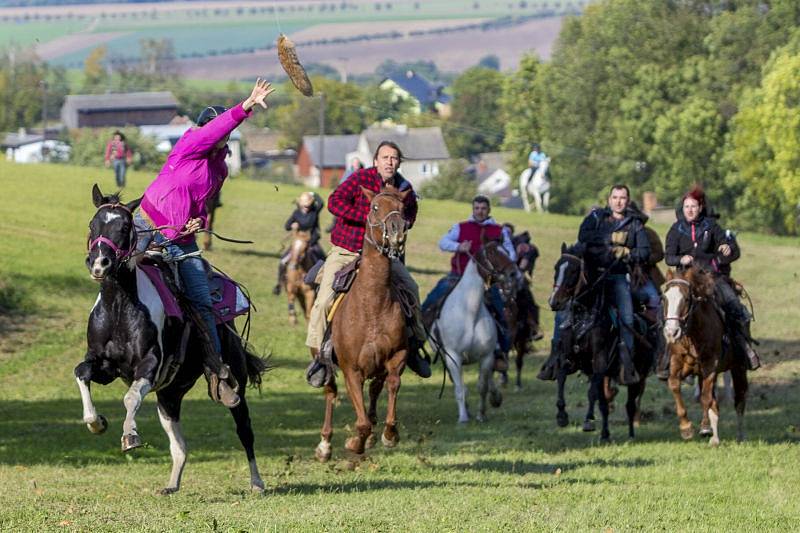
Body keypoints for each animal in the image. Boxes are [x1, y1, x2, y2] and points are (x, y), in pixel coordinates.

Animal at [75, 184, 268, 494]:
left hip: (235, 382)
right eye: (93, 224)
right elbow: (81, 372)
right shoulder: (104, 366)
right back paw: (172, 484)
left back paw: (257, 483)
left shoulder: (150, 364)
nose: (100, 263)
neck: (119, 306)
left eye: (125, 226)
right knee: (180, 446)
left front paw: (130, 436)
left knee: (245, 431)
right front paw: (97, 423)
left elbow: (130, 397)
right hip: (170, 395)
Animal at [316, 186, 410, 462]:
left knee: (375, 390)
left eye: (403, 208)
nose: (397, 230)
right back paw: (325, 445)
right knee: (330, 391)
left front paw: (389, 435)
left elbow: (392, 385)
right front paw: (354, 443)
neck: (372, 304)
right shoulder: (351, 369)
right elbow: (361, 421)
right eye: (375, 207)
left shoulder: (396, 357)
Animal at [432, 251, 500, 422]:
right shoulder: (453, 357)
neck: (470, 311)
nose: (514, 274)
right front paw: (463, 417)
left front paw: (481, 415)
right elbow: (460, 389)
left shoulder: (487, 356)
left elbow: (482, 386)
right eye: (493, 253)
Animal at [664, 266, 752, 444]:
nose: (671, 332)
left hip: (738, 367)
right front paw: (686, 428)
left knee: (739, 400)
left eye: (686, 299)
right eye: (664, 298)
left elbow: (706, 398)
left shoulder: (710, 366)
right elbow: (675, 385)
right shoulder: (678, 362)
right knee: (714, 403)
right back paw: (715, 438)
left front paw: (704, 427)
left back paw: (739, 436)